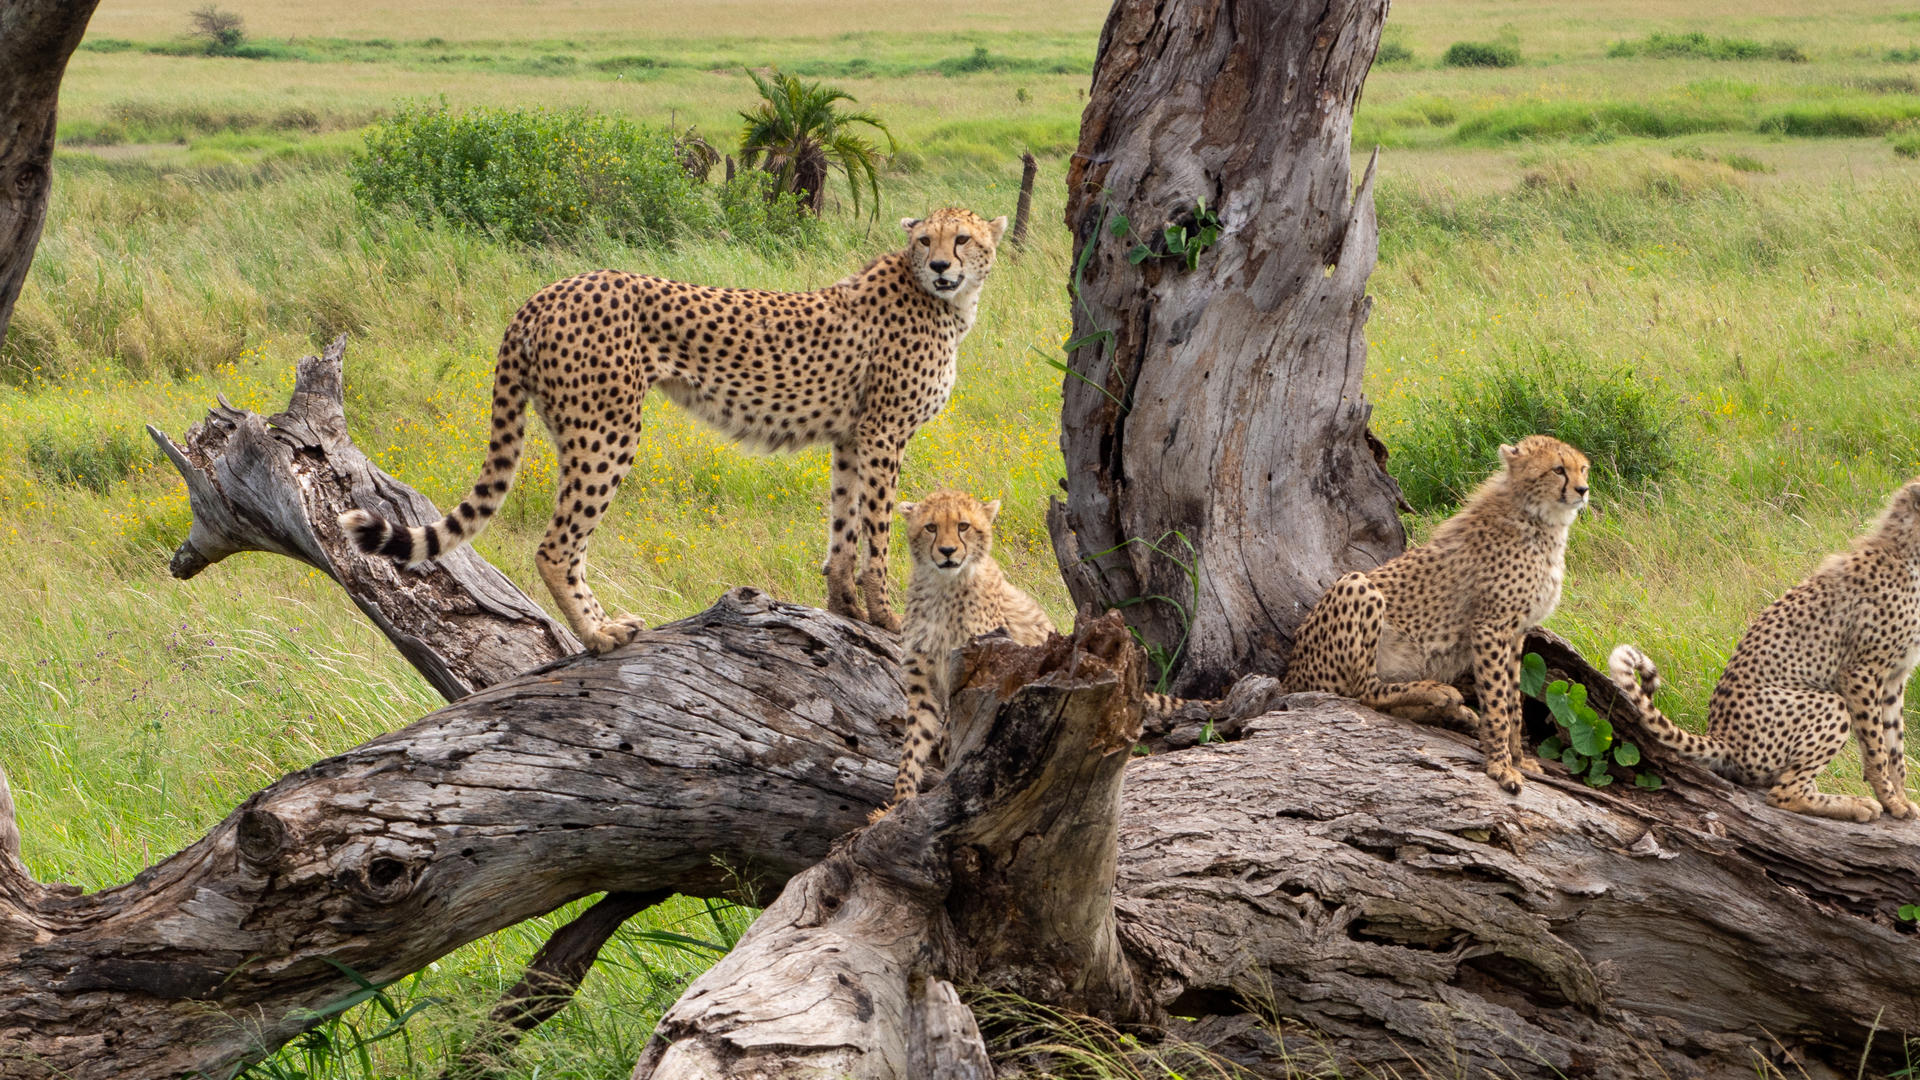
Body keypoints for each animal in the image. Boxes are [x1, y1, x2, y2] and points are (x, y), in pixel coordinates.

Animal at [337, 206, 1013, 653]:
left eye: (963, 238)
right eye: (925, 239)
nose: (942, 265)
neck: (942, 301)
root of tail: (547, 291)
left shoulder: (852, 438)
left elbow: (843, 531)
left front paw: (844, 611)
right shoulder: (883, 435)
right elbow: (877, 535)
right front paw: (890, 620)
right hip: (607, 428)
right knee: (556, 545)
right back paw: (601, 633)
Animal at [1282, 432, 1597, 795]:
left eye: (1583, 469)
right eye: (1558, 469)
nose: (1583, 490)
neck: (1537, 518)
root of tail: (1290, 675)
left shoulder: (1516, 632)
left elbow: (1513, 700)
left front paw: (1518, 759)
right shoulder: (1490, 627)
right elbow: (1496, 700)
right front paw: (1501, 766)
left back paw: (1452, 711)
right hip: (1357, 584)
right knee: (1364, 690)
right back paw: (1439, 693)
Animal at [1605, 474, 1920, 818]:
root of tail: (1722, 736)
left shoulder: (1894, 678)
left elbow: (1895, 745)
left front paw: (1900, 798)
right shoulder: (1861, 672)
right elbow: (1877, 747)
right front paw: (1890, 801)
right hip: (1829, 703)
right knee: (1784, 793)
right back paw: (1856, 805)